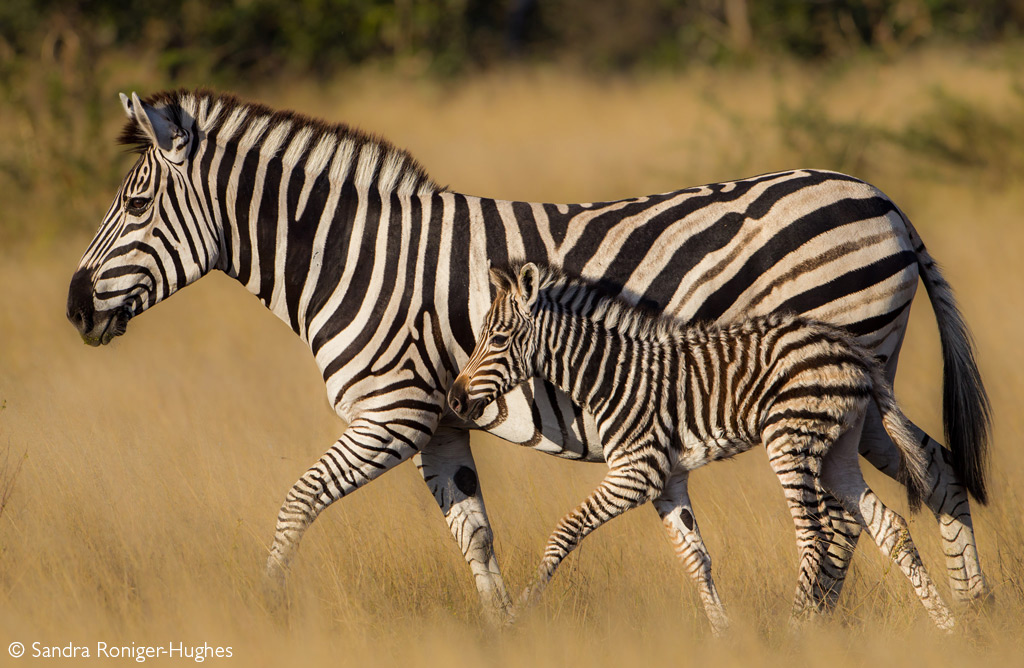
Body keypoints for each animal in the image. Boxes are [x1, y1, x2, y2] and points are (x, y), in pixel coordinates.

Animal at [452, 261, 954, 631]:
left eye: (498, 339)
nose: (455, 399)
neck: (610, 374)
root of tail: (852, 350)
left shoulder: (637, 472)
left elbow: (564, 532)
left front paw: (518, 615)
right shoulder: (668, 479)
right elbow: (696, 558)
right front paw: (722, 635)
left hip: (790, 440)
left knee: (815, 536)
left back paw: (794, 632)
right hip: (837, 452)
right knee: (890, 526)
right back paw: (947, 626)